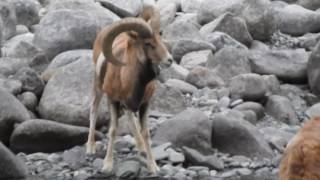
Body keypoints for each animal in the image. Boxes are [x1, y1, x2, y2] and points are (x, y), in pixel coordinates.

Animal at [85, 5, 172, 173]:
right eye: (148, 43)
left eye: (160, 36)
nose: (169, 60)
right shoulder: (112, 100)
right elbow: (113, 130)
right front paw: (107, 165)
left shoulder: (145, 104)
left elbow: (145, 133)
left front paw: (153, 166)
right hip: (97, 88)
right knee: (93, 110)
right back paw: (90, 148)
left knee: (130, 117)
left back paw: (140, 147)